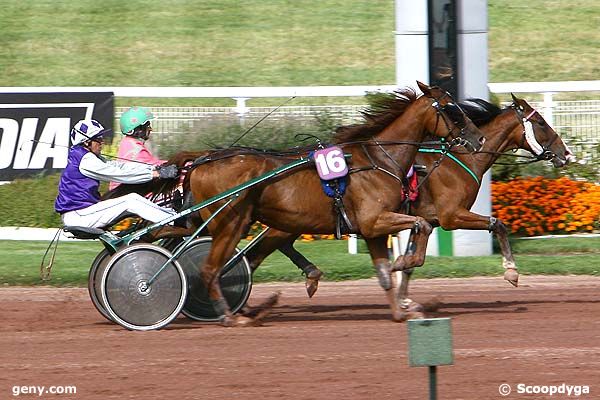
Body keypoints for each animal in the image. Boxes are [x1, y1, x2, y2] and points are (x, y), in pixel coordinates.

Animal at [179, 81, 488, 324]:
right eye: (452, 109)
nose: (479, 138)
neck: (379, 161)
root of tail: (201, 162)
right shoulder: (374, 220)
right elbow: (421, 224)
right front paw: (405, 261)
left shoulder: (373, 230)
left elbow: (385, 272)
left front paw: (402, 308)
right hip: (230, 223)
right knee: (212, 269)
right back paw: (229, 315)